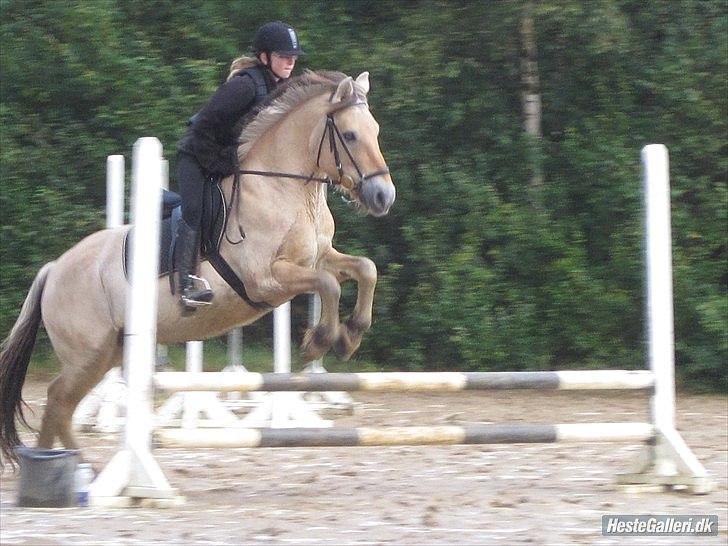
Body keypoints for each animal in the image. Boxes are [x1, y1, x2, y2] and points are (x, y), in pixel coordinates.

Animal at [0, 69, 396, 464]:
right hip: (88, 353)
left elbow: (365, 269)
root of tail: (54, 269)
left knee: (61, 405)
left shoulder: (318, 257)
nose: (384, 196)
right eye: (350, 135)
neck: (282, 190)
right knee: (57, 400)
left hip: (107, 353)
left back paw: (79, 470)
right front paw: (321, 341)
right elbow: (328, 284)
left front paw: (350, 335)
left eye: (376, 130)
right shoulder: (265, 279)